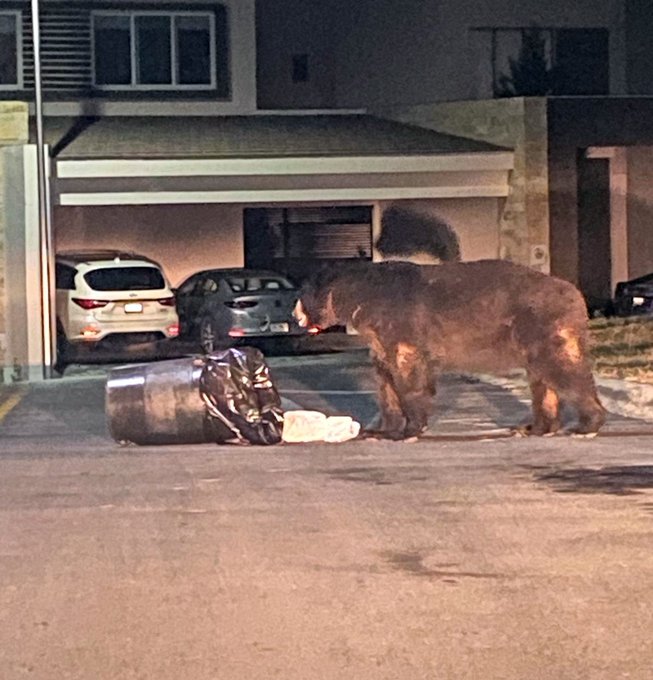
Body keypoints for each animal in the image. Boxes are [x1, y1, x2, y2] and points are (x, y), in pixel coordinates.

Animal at [292, 260, 604, 440]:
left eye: (302, 295)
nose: (295, 314)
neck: (359, 297)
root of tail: (576, 295)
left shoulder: (398, 320)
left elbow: (408, 370)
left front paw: (409, 430)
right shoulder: (378, 336)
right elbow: (385, 378)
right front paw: (379, 430)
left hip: (541, 323)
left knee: (561, 368)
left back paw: (585, 425)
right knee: (542, 378)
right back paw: (532, 428)